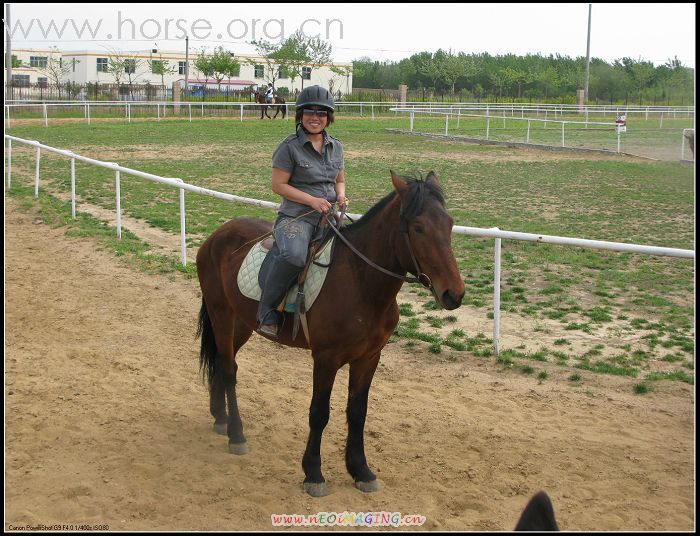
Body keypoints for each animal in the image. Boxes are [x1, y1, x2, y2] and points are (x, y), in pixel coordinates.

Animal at [196, 172, 464, 498]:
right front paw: (313, 472)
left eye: (449, 223)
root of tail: (218, 234)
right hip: (221, 313)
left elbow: (358, 412)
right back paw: (236, 434)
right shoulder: (326, 358)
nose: (454, 293)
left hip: (243, 322)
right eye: (418, 227)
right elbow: (319, 412)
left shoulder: (368, 358)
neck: (360, 282)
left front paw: (361, 470)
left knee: (224, 362)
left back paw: (220, 417)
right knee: (229, 369)